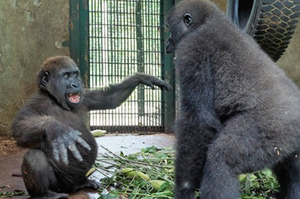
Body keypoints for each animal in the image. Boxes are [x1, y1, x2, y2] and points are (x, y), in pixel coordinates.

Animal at [11, 55, 171, 198]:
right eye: (66, 76)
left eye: (75, 75)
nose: (76, 84)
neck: (55, 101)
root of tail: (71, 187)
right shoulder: (37, 103)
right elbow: (20, 128)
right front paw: (57, 129)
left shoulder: (85, 97)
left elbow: (109, 98)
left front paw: (142, 77)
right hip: (59, 185)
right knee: (34, 157)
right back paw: (44, 194)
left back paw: (84, 182)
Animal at [166, 0, 300, 199]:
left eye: (169, 29)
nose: (167, 43)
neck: (208, 20)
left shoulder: (190, 51)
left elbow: (198, 121)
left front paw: (185, 188)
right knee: (293, 167)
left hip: (275, 128)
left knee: (222, 161)